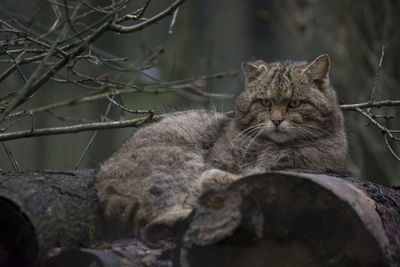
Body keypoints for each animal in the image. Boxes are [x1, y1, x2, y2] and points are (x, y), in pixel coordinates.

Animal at [94, 54, 346, 245]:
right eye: (265, 102)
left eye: (294, 103)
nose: (276, 121)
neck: (271, 146)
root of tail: (103, 186)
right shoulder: (219, 160)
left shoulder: (302, 168)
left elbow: (256, 175)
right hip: (177, 163)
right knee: (154, 220)